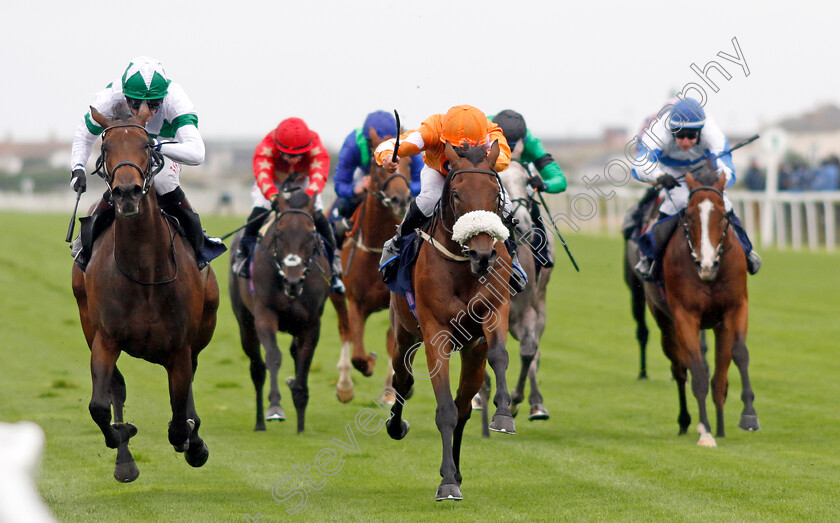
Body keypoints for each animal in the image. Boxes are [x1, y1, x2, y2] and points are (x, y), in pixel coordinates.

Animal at [71, 105, 220, 484]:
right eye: (106, 147)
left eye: (145, 145)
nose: (126, 192)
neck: (144, 271)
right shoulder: (105, 338)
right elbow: (99, 405)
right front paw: (123, 436)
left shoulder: (180, 347)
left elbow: (180, 420)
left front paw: (193, 442)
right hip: (87, 322)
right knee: (116, 389)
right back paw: (125, 458)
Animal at [231, 190, 336, 432]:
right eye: (279, 233)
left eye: (311, 234)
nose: (293, 281)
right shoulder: (264, 315)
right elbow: (273, 357)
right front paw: (275, 407)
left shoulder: (311, 323)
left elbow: (304, 362)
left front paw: (301, 422)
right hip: (245, 324)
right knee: (257, 369)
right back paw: (260, 422)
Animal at [334, 129, 414, 404]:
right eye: (379, 167)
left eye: (410, 163)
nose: (401, 198)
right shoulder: (356, 302)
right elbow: (358, 352)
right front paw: (367, 363)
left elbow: (394, 344)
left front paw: (392, 389)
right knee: (345, 331)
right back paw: (344, 385)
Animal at [386, 141, 516, 502]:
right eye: (456, 194)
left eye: (495, 194)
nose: (484, 254)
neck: (462, 267)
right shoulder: (435, 333)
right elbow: (443, 409)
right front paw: (446, 484)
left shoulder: (495, 311)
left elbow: (500, 356)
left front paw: (503, 415)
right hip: (404, 332)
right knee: (403, 380)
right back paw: (396, 426)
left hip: (472, 353)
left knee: (463, 407)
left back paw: (457, 470)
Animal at [644, 164, 760, 446]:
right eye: (688, 216)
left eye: (724, 215)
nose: (706, 265)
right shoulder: (685, 316)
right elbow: (697, 372)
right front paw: (706, 432)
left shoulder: (735, 308)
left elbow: (738, 355)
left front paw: (748, 416)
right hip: (665, 324)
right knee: (680, 369)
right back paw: (687, 421)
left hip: (716, 325)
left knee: (718, 375)